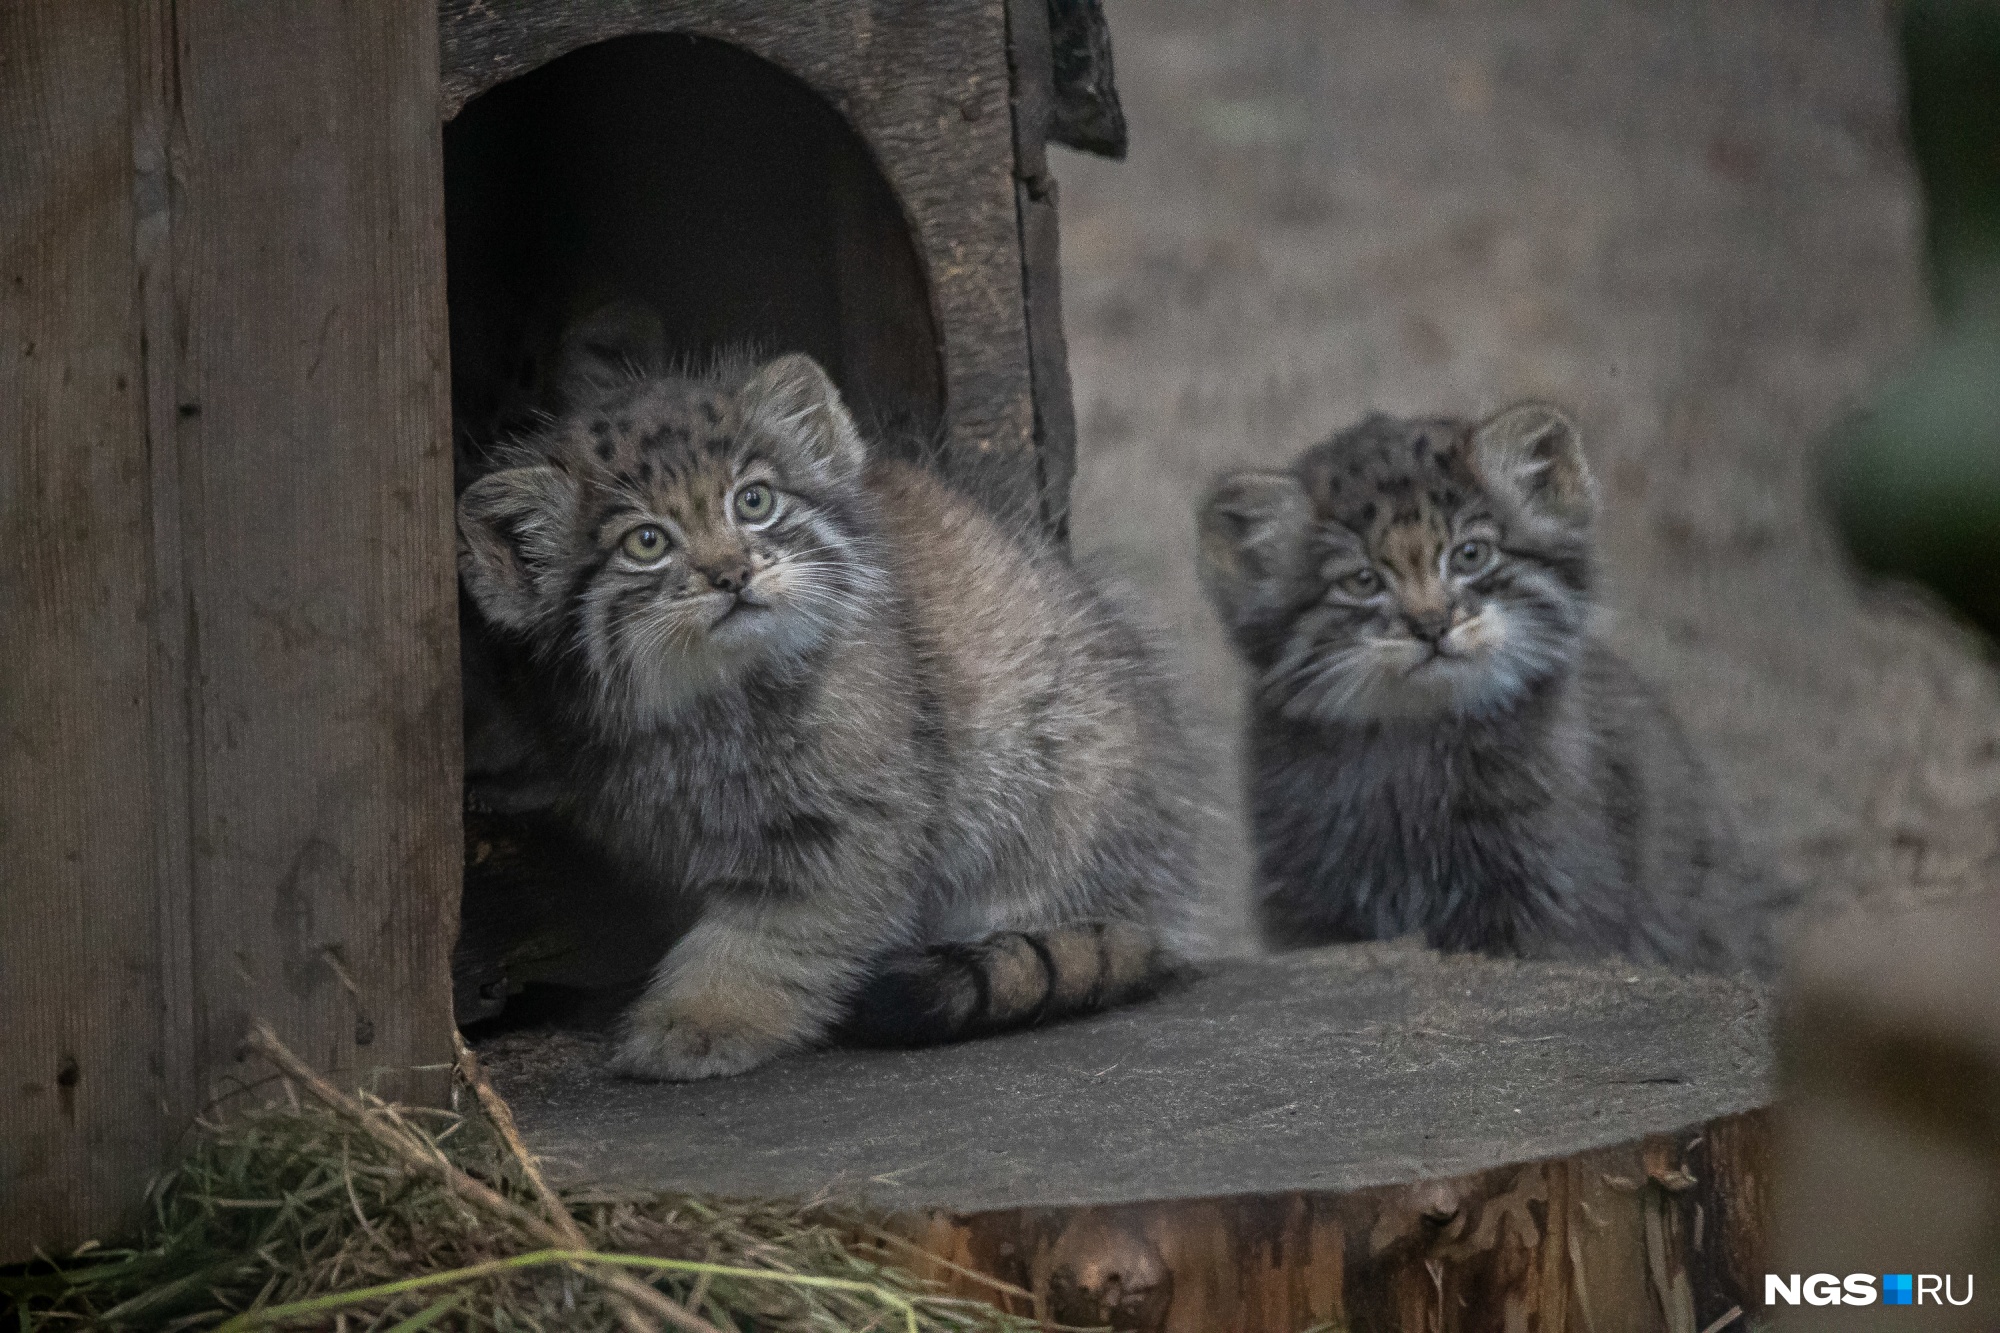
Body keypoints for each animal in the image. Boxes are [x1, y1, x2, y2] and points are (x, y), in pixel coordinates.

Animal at [458, 304, 1200, 1080]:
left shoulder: (854, 820)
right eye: (646, 542)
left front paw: (700, 1019)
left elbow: (774, 937)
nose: (732, 574)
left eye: (754, 501)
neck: (712, 702)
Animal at [1200, 400, 1784, 972]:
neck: (1414, 741)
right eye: (1362, 581)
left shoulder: (1550, 891)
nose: (1432, 625)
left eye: (1470, 555)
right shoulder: (1306, 896)